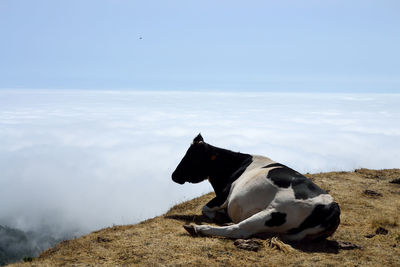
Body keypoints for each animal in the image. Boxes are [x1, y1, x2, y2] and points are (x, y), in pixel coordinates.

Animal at [172, 135, 340, 242]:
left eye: (191, 157)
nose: (173, 175)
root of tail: (333, 207)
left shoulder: (224, 195)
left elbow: (205, 208)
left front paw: (219, 217)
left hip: (274, 212)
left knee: (239, 230)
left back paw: (197, 228)